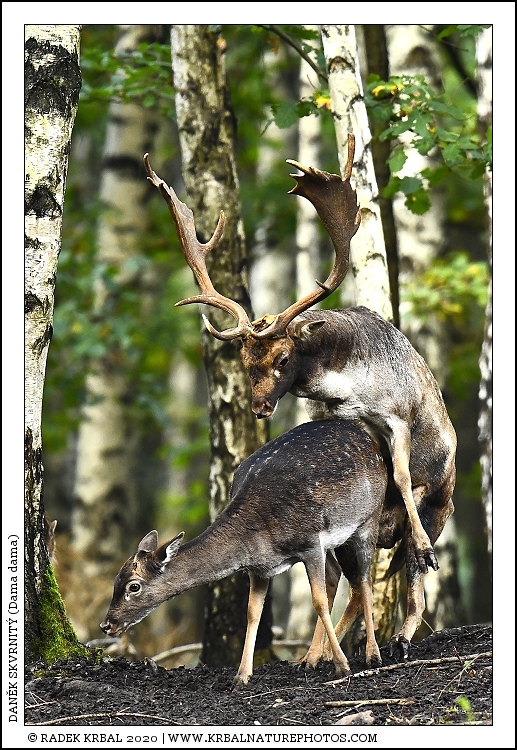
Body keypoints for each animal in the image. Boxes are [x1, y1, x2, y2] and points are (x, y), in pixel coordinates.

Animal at [101, 419, 387, 685]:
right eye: (115, 580)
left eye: (134, 586)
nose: (106, 624)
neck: (258, 536)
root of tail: (368, 438)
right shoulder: (260, 568)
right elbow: (251, 613)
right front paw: (242, 676)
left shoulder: (309, 543)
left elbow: (318, 602)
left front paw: (343, 666)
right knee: (337, 574)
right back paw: (310, 659)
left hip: (369, 517)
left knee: (365, 579)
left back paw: (372, 654)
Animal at [143, 133, 457, 658]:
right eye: (244, 360)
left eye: (284, 357)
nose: (259, 407)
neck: (350, 383)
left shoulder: (396, 415)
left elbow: (399, 472)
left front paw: (424, 551)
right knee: (350, 580)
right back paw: (317, 654)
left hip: (443, 503)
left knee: (408, 578)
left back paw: (401, 632)